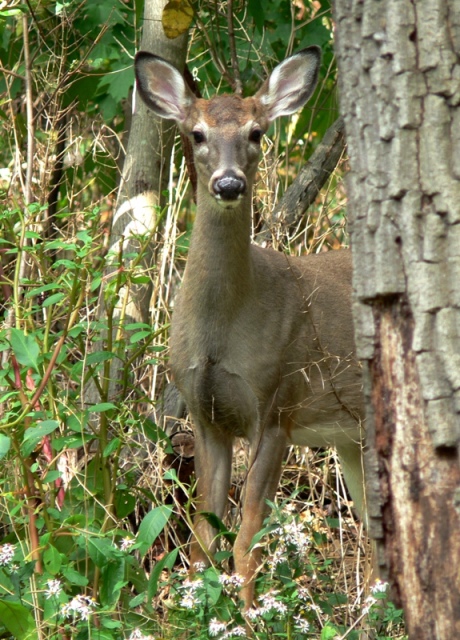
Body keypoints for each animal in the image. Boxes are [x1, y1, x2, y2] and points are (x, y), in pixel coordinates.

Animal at [135, 47, 364, 608]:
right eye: (197, 133)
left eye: (257, 132)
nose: (229, 183)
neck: (222, 335)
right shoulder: (204, 415)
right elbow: (202, 538)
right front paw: (195, 609)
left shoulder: (278, 404)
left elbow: (246, 537)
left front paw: (251, 614)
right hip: (351, 435)